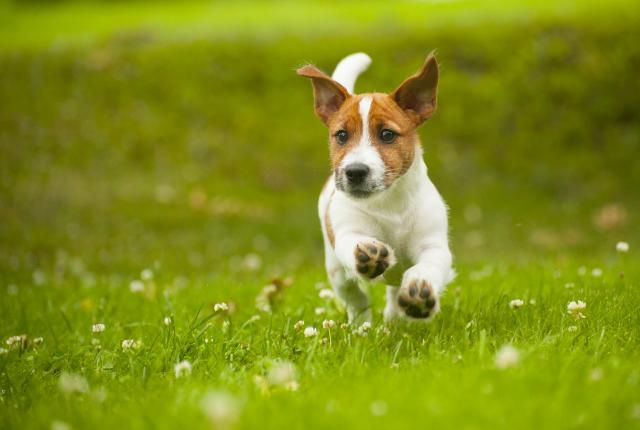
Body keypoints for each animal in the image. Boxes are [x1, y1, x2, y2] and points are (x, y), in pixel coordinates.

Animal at [296, 53, 452, 322]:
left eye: (387, 134)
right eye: (341, 135)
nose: (355, 171)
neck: (389, 201)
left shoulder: (434, 247)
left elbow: (427, 266)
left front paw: (419, 291)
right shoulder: (348, 231)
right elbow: (356, 242)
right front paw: (369, 255)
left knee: (393, 293)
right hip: (335, 270)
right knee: (355, 299)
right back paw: (362, 324)